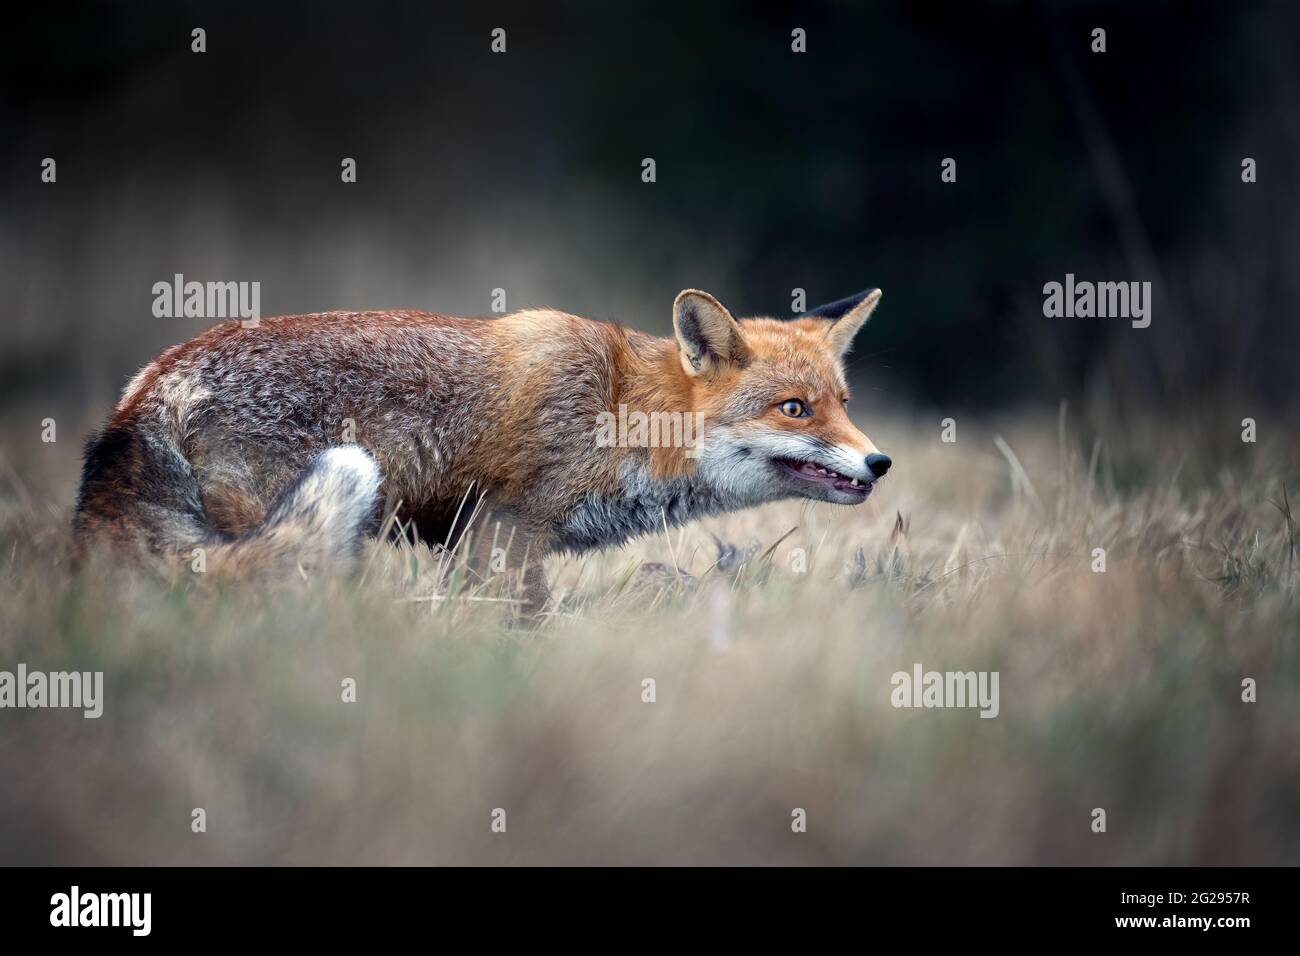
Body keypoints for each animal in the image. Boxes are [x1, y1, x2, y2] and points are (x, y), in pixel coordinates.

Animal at [73, 287, 894, 608]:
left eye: (845, 406)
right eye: (795, 409)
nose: (880, 462)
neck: (622, 411)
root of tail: (151, 384)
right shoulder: (504, 529)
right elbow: (524, 621)